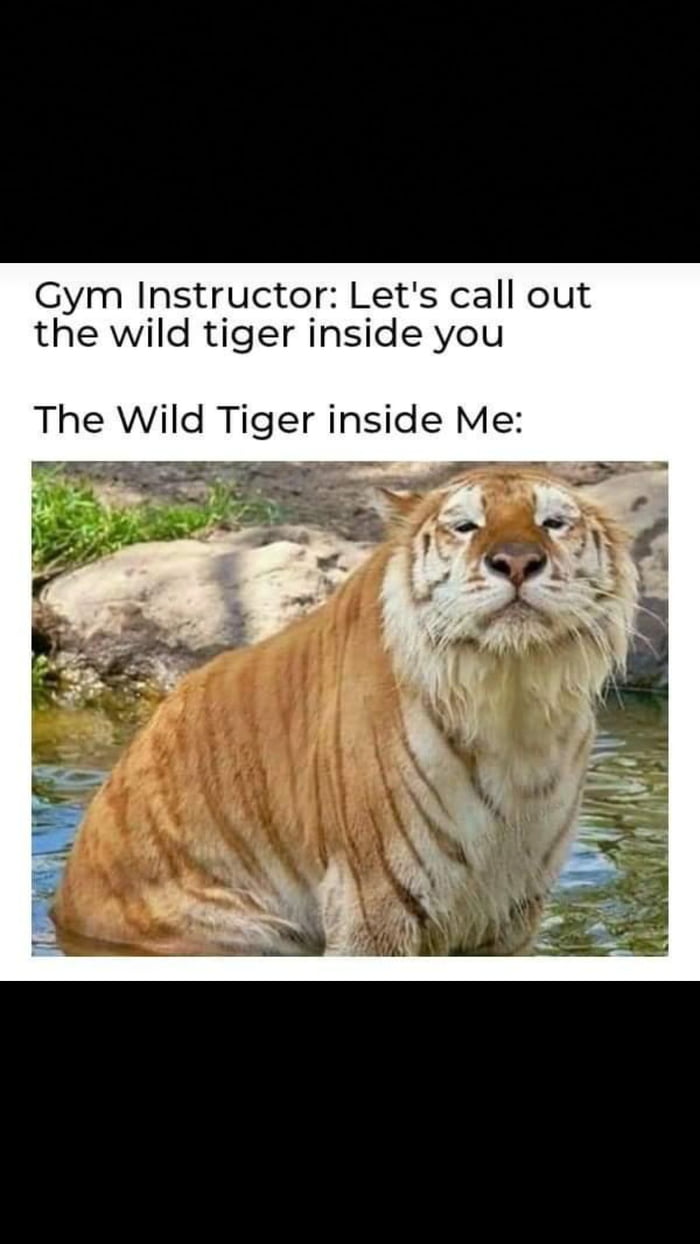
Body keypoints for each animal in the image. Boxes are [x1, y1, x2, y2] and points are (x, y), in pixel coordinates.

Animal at [52, 467, 638, 956]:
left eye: (553, 523)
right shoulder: (376, 896)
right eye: (466, 526)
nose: (517, 562)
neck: (512, 698)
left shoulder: (511, 911)